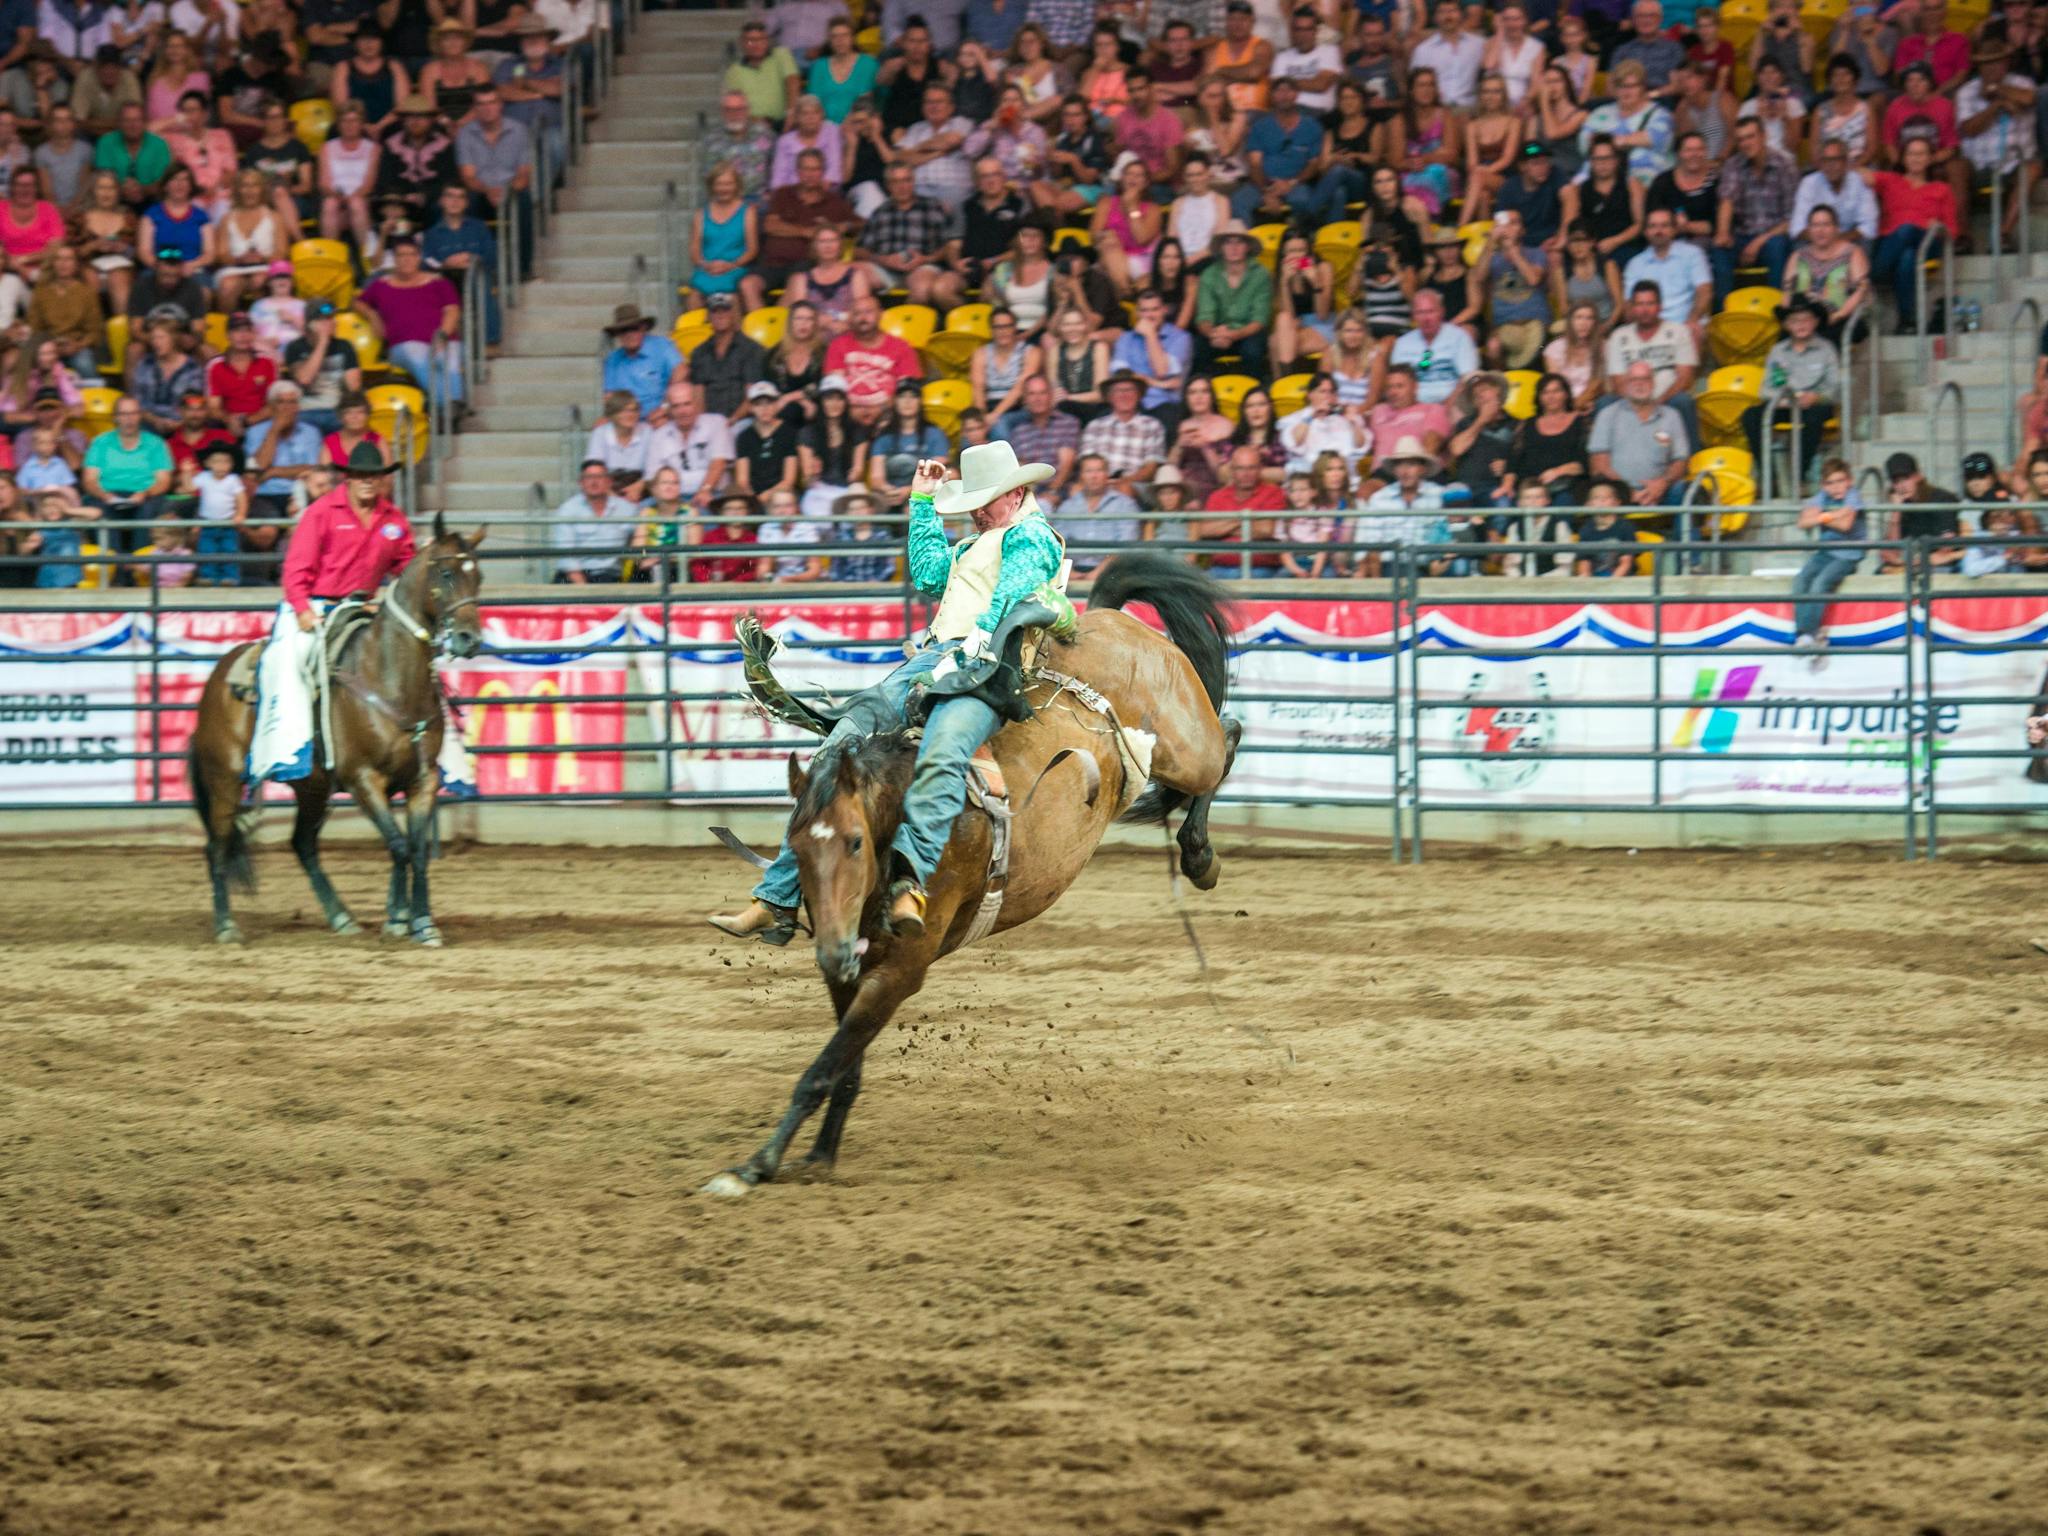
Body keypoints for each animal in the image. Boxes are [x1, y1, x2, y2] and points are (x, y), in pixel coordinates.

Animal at [185, 524, 487, 946]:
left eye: (479, 576)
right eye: (446, 574)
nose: (469, 639)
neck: (390, 678)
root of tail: (215, 680)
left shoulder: (423, 780)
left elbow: (414, 850)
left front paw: (418, 921)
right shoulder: (363, 779)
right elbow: (398, 845)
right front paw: (402, 920)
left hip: (312, 788)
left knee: (302, 844)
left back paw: (341, 916)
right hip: (225, 781)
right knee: (217, 846)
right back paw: (227, 927)